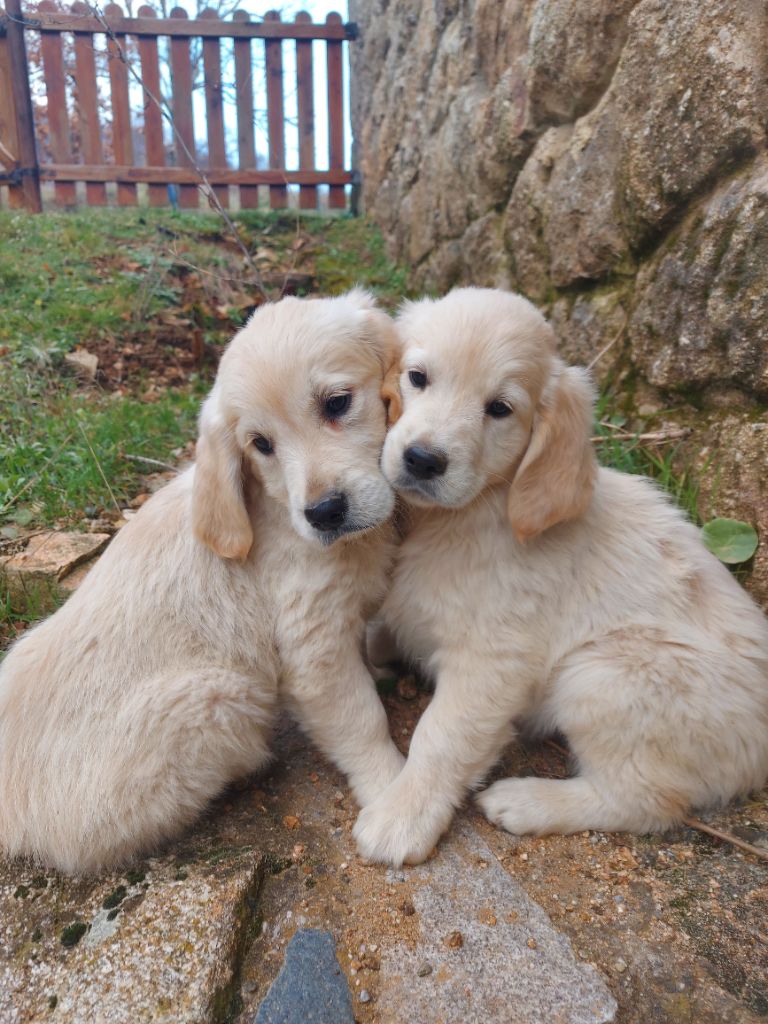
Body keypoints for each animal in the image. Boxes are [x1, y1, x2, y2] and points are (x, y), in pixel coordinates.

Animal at [0, 288, 405, 872]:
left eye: (336, 403)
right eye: (261, 444)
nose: (324, 513)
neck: (276, 510)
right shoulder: (314, 651)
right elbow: (361, 719)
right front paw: (395, 793)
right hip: (221, 695)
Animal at [358, 286, 768, 864]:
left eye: (500, 409)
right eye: (417, 377)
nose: (421, 459)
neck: (474, 513)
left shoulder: (494, 661)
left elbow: (441, 736)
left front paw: (402, 818)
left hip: (603, 675)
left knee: (647, 801)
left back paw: (527, 801)